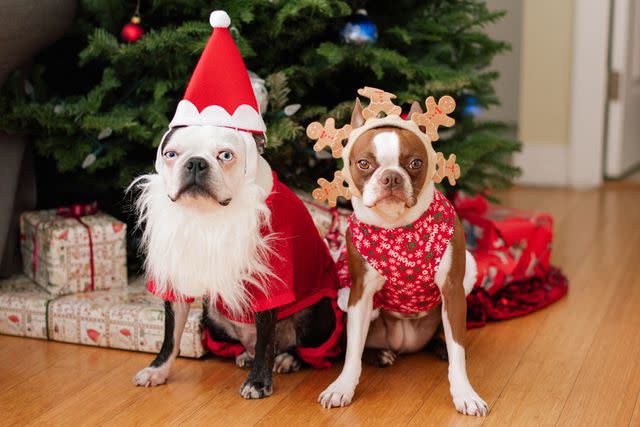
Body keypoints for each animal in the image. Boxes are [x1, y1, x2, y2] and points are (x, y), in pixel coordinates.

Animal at [318, 98, 488, 416]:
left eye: (415, 163)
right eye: (364, 163)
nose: (391, 177)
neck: (398, 229)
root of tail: (405, 343)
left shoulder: (453, 291)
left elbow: (458, 351)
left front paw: (465, 393)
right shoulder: (359, 294)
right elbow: (352, 352)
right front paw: (342, 387)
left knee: (447, 339)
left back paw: (439, 348)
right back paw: (381, 354)